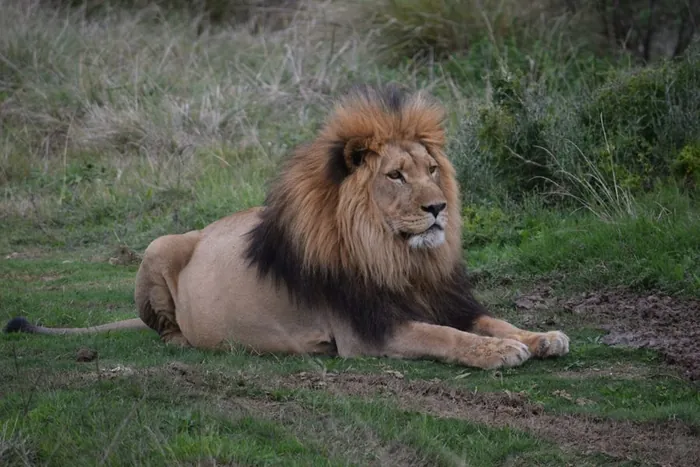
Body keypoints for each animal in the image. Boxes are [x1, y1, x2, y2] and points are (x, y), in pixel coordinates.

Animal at [4, 85, 569, 369]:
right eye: (395, 176)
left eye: (432, 170)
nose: (439, 208)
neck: (399, 257)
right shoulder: (367, 331)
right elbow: (445, 337)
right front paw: (499, 353)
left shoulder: (446, 299)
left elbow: (490, 320)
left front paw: (541, 336)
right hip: (157, 246)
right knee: (165, 331)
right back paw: (191, 342)